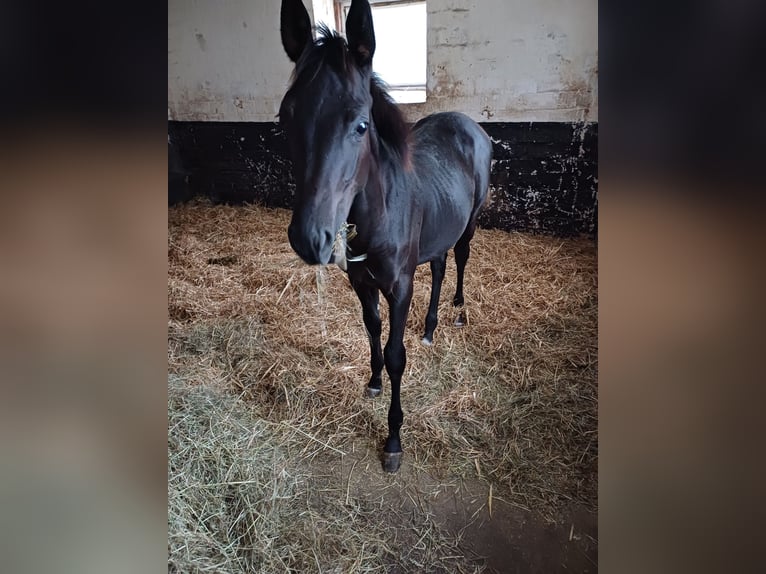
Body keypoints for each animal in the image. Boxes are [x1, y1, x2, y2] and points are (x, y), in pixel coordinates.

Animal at [280, 0, 492, 474]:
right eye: (285, 117)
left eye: (361, 124)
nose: (310, 237)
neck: (379, 211)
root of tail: (470, 126)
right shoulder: (362, 282)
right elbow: (372, 328)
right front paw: (374, 380)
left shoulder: (399, 286)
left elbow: (397, 355)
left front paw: (394, 439)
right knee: (439, 265)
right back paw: (429, 327)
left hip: (469, 223)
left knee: (461, 258)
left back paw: (456, 309)